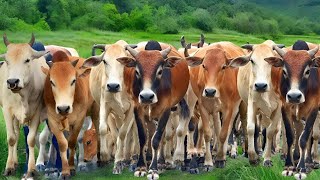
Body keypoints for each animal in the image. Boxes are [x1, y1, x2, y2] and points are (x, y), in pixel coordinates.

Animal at [40, 50, 91, 179]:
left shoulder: (79, 120)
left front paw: (72, 167)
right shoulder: (52, 121)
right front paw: (65, 171)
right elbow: (63, 144)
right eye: (51, 82)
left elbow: (72, 142)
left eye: (73, 80)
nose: (63, 108)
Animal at [117, 43, 189, 179]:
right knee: (150, 132)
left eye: (160, 71)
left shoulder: (166, 110)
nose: (146, 97)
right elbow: (143, 137)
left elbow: (157, 139)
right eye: (137, 71)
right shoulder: (138, 109)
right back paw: (150, 157)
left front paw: (153, 169)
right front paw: (141, 167)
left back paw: (161, 162)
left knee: (162, 136)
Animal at [185, 41, 245, 170]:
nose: (210, 91)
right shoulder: (203, 107)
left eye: (223, 67)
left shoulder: (229, 108)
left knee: (229, 129)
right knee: (217, 127)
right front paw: (208, 162)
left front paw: (221, 159)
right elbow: (208, 133)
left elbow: (223, 134)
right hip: (215, 110)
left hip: (237, 107)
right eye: (204, 66)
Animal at [266, 44, 320, 179]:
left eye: (307, 71)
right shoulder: (285, 108)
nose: (294, 96)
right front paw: (289, 166)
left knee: (310, 136)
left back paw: (309, 162)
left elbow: (304, 139)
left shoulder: (313, 110)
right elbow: (291, 136)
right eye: (284, 71)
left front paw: (301, 169)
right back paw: (297, 158)